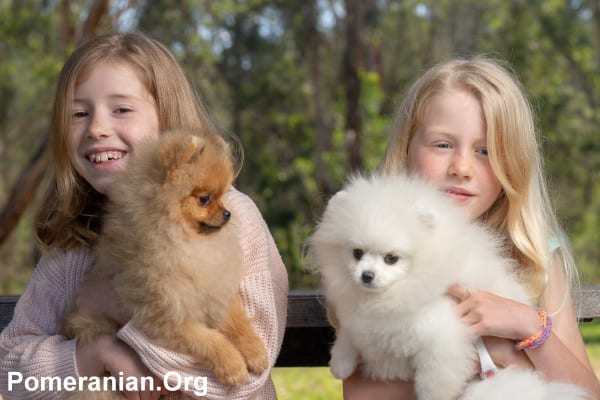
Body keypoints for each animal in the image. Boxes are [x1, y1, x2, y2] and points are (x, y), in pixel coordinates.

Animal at [63, 130, 268, 398]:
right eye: (205, 199)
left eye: (223, 196)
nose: (227, 214)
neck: (184, 242)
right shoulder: (167, 315)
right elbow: (210, 341)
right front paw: (233, 366)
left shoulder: (214, 292)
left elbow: (237, 321)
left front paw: (256, 352)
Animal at [308, 174, 588, 400]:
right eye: (357, 253)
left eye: (391, 258)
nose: (367, 275)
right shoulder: (360, 321)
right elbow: (349, 334)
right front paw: (340, 362)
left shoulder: (443, 339)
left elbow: (435, 382)